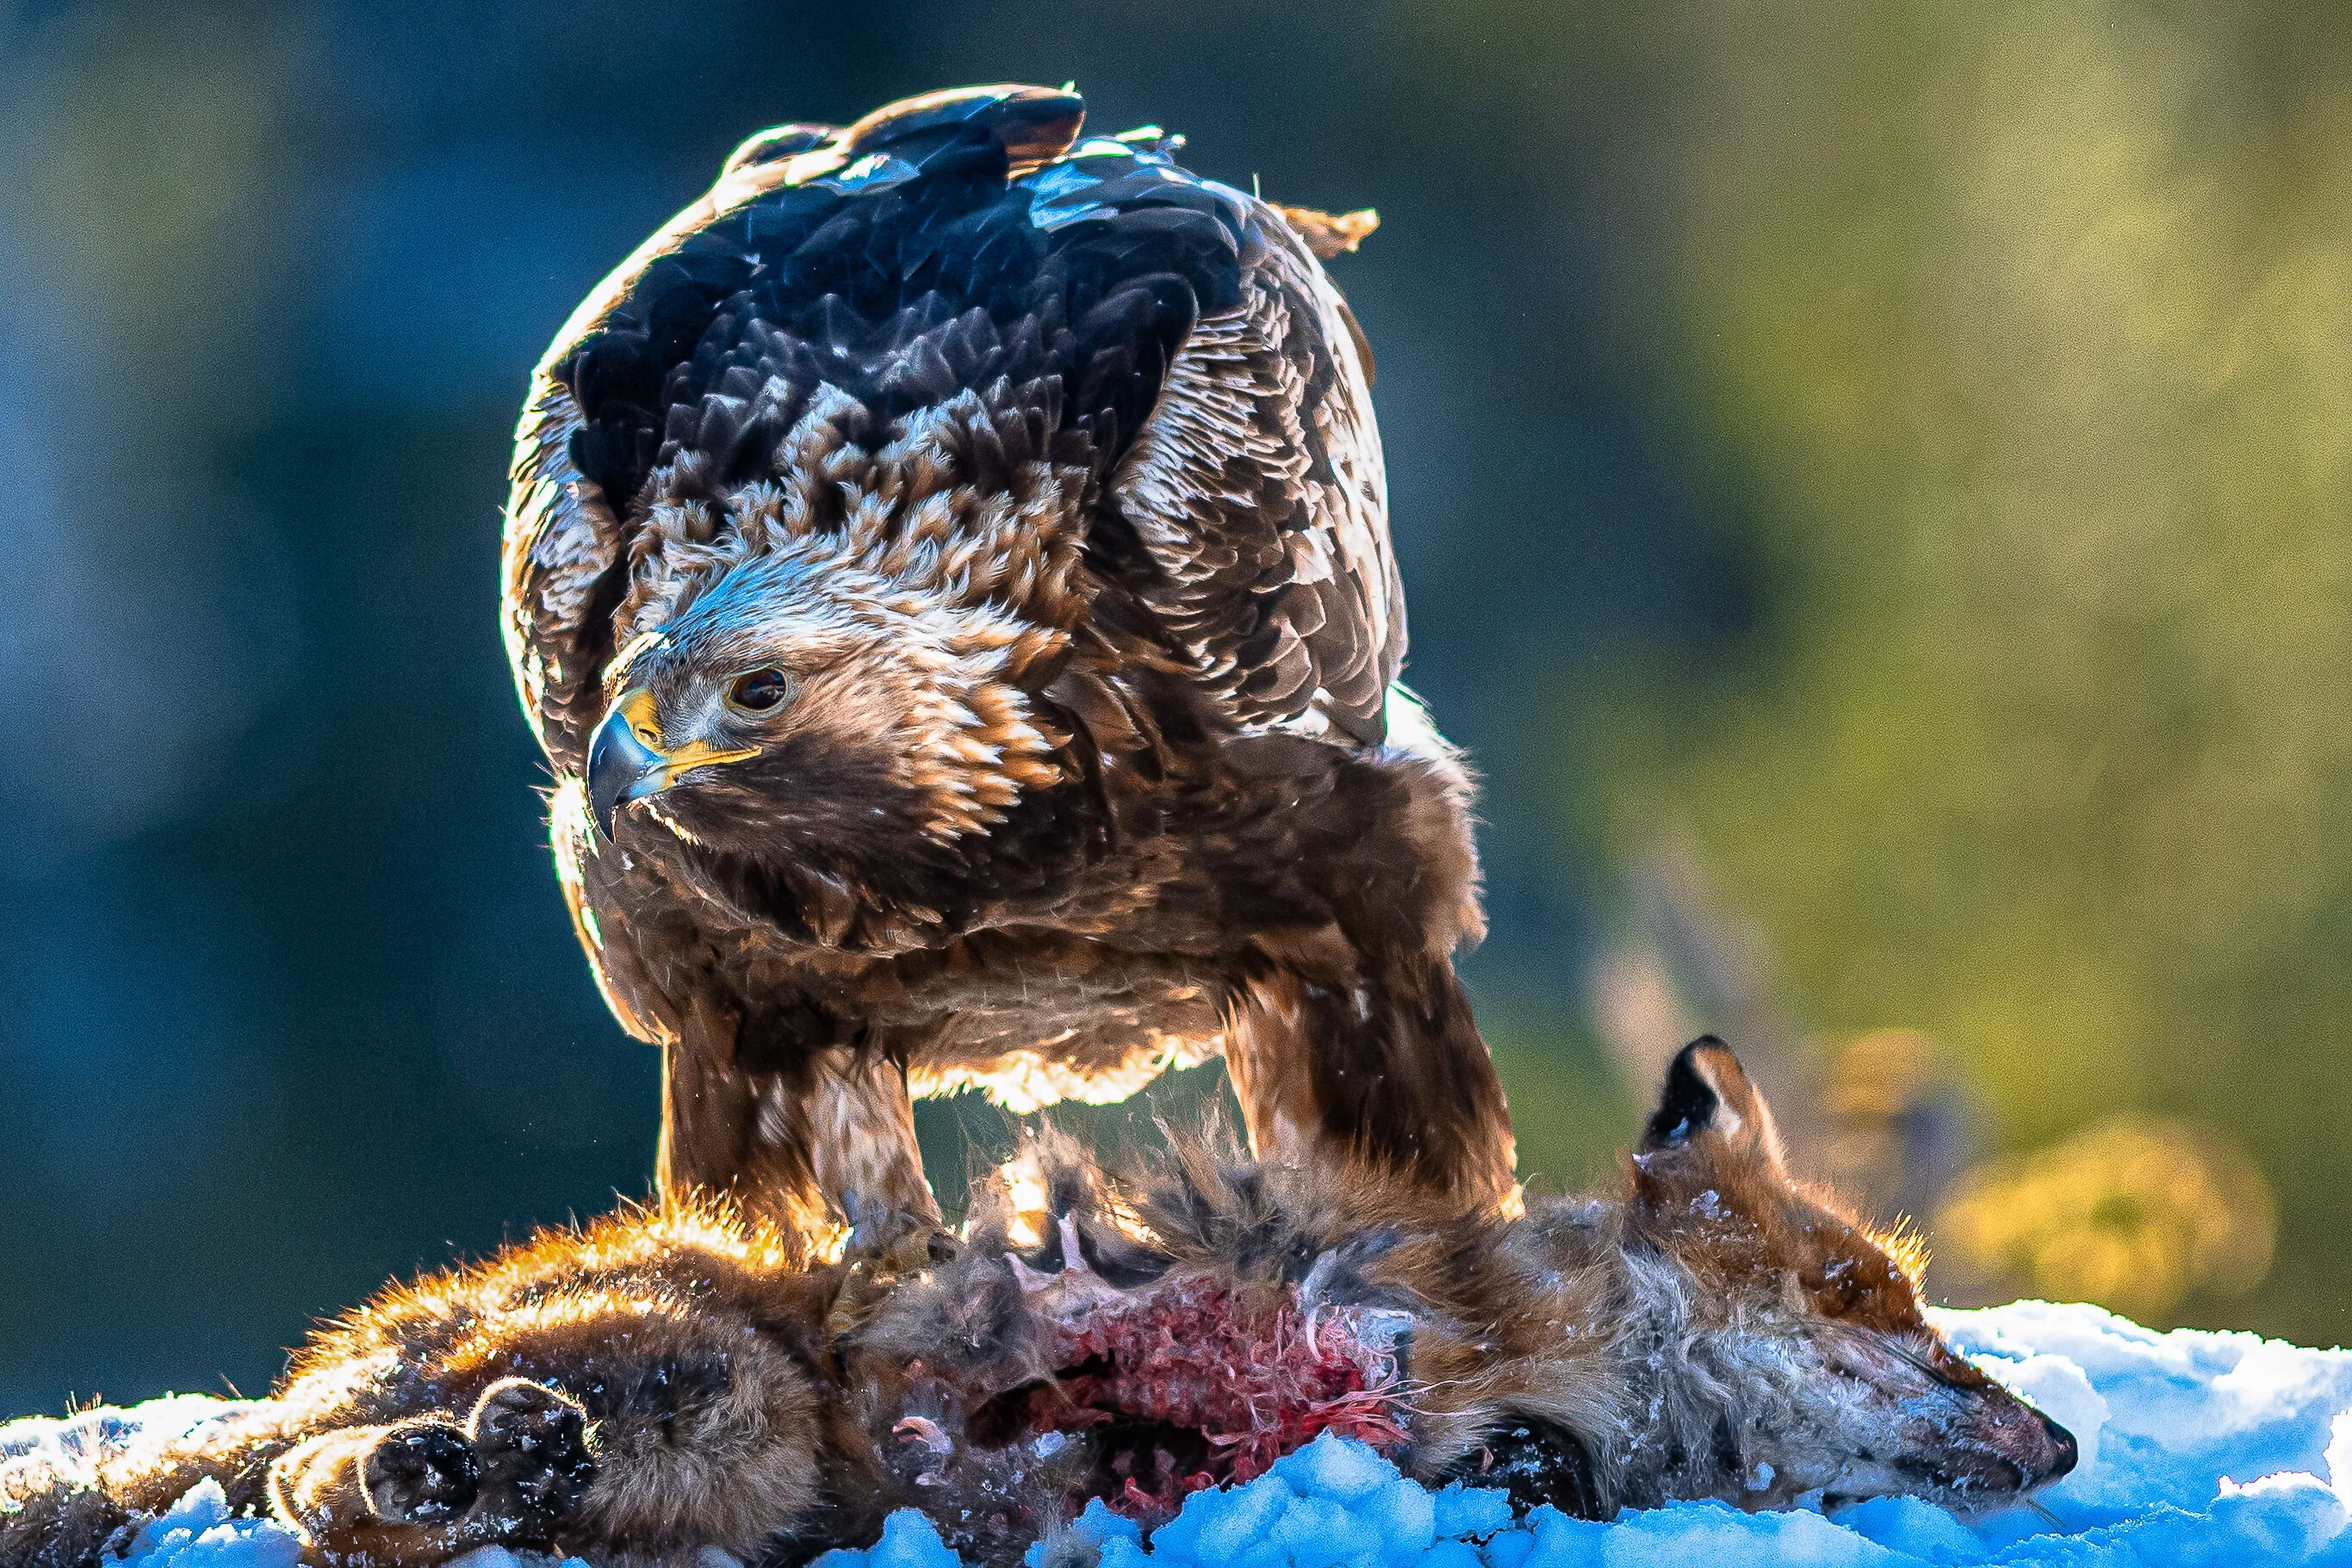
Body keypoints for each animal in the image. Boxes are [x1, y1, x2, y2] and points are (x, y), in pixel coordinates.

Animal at [0, 1040, 2074, 1568]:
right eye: (1876, 1295)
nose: (2059, 1433)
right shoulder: (1371, 1315)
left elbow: (1513, 1475)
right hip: (715, 1382)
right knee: (312, 1489)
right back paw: (443, 1457)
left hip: (730, 1495)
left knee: (362, 1498)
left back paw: (466, 1470)